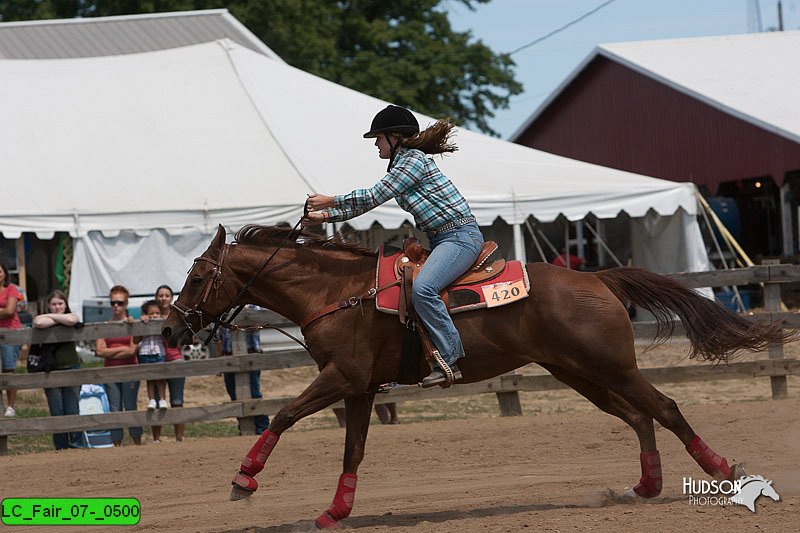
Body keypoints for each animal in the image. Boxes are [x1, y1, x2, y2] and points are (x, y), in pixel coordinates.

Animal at [164, 224, 792, 528]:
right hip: (578, 373)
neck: (336, 292)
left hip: (611, 366)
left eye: (196, 277)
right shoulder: (360, 388)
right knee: (638, 416)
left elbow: (283, 415)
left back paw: (721, 472)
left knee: (665, 408)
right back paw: (645, 486)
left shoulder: (342, 378)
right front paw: (334, 513)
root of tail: (599, 278)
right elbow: (353, 451)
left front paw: (244, 480)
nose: (170, 329)